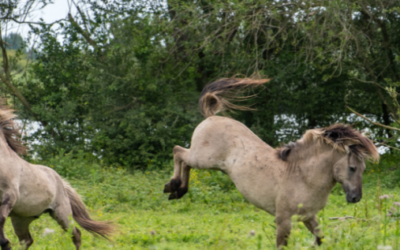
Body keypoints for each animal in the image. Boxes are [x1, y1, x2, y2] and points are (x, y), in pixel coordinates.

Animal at [0, 102, 112, 249]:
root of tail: (61, 182)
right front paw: (6, 243)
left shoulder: (9, 197)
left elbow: (0, 221)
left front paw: (5, 243)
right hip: (21, 217)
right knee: (26, 240)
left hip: (62, 214)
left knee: (76, 234)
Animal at [164, 78, 380, 248]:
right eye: (352, 168)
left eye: (363, 169)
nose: (355, 198)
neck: (303, 177)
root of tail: (211, 117)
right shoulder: (284, 220)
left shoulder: (308, 217)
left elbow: (320, 239)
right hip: (203, 158)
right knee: (178, 152)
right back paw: (172, 187)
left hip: (206, 161)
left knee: (184, 161)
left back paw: (177, 191)